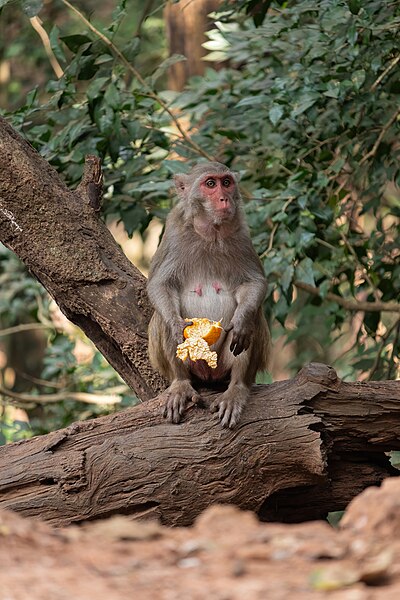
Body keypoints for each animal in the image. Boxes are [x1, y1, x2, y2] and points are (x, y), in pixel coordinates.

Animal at [146, 162, 268, 428]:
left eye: (227, 183)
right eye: (210, 184)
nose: (224, 198)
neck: (211, 232)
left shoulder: (242, 233)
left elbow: (254, 283)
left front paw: (241, 320)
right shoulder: (173, 230)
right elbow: (160, 285)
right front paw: (175, 325)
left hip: (223, 364)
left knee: (253, 318)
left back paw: (237, 388)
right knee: (161, 318)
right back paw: (180, 384)